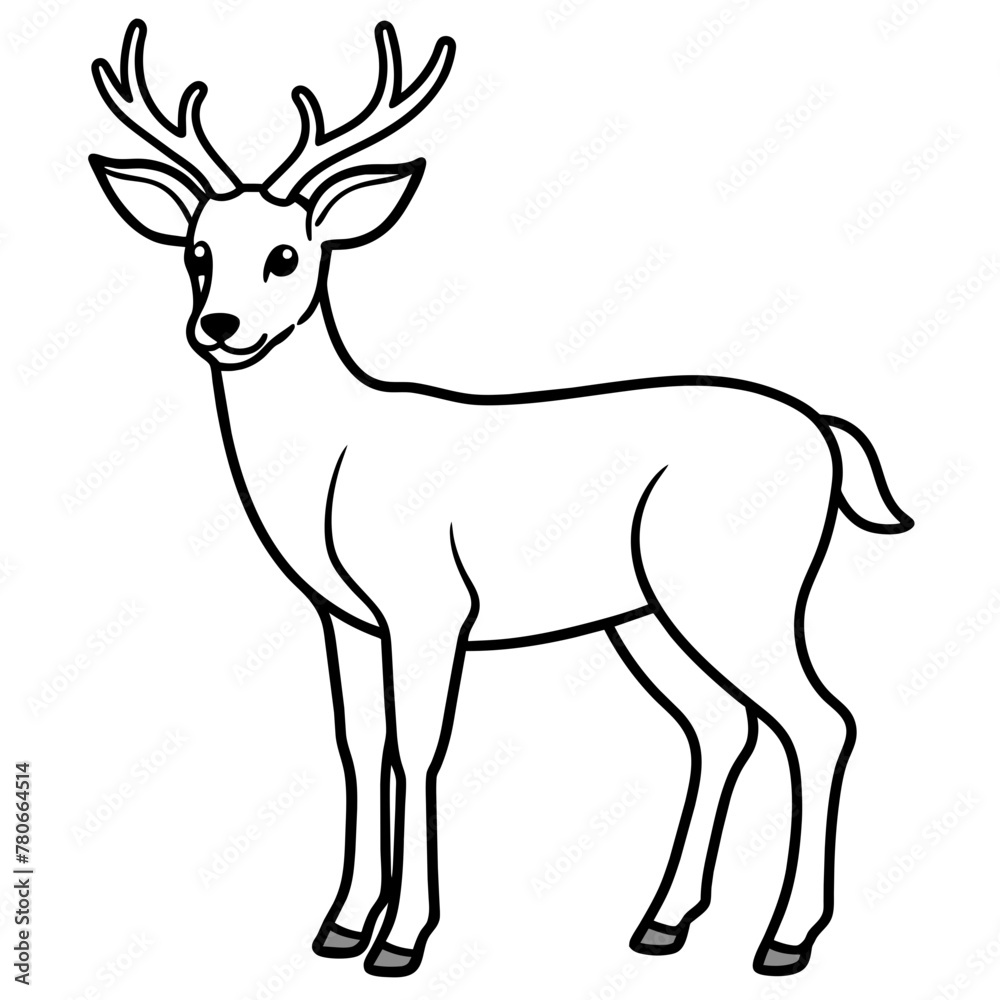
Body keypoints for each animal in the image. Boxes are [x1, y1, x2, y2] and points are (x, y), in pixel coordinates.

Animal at [89, 18, 913, 979]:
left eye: (287, 255)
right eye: (197, 251)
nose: (218, 328)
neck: (335, 459)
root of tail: (826, 434)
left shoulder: (430, 603)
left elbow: (418, 751)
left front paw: (400, 940)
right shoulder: (345, 617)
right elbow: (358, 749)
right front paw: (340, 925)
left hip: (741, 587)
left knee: (821, 723)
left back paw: (784, 940)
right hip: (647, 613)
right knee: (720, 728)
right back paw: (662, 922)